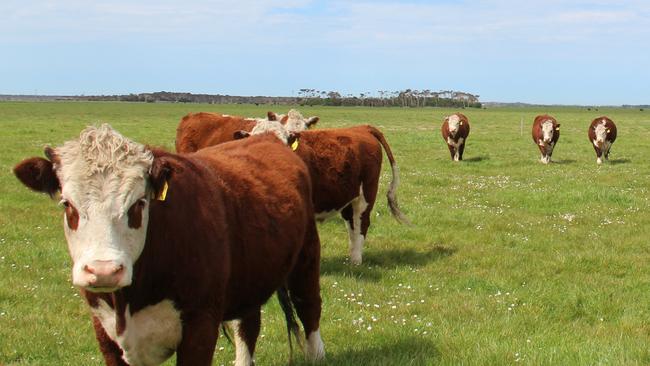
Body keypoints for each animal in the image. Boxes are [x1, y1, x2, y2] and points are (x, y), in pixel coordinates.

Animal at [12, 125, 322, 366]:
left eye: (138, 203)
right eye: (68, 204)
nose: (103, 271)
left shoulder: (200, 326)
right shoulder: (104, 331)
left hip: (306, 259)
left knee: (309, 308)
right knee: (248, 325)